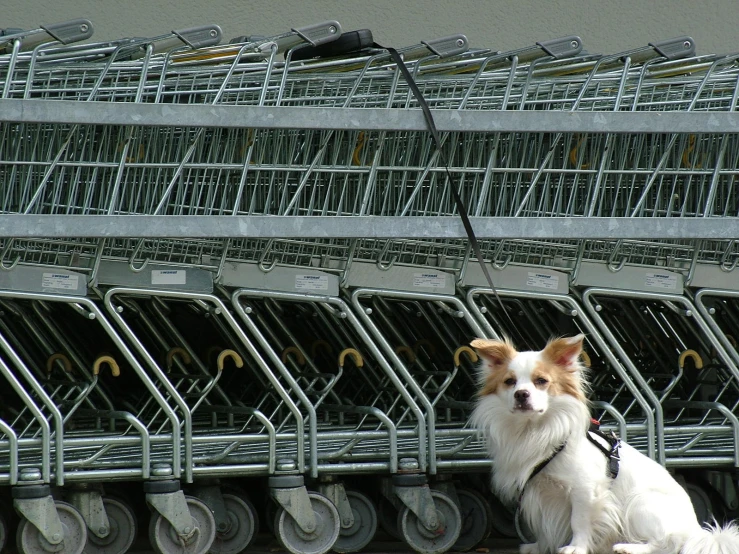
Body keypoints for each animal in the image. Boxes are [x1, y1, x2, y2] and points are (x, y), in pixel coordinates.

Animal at [472, 332, 739, 552]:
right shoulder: (539, 493)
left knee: (667, 543)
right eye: (509, 382)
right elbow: (542, 524)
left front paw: (576, 547)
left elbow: (578, 521)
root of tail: (697, 533)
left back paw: (629, 548)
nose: (521, 395)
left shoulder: (585, 489)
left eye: (541, 381)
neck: (532, 430)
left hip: (640, 504)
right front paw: (540, 546)